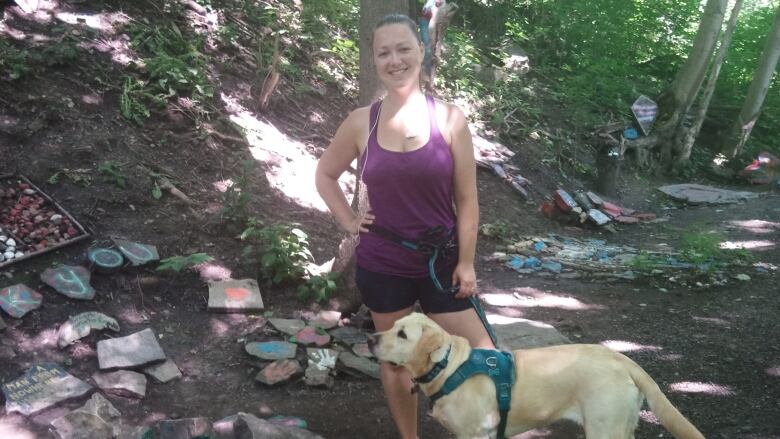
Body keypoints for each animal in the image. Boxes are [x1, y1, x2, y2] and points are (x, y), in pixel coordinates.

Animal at [368, 312, 704, 439]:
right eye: (392, 325)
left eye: (402, 334)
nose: (370, 338)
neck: (448, 367)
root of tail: (622, 358)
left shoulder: (473, 433)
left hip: (603, 429)